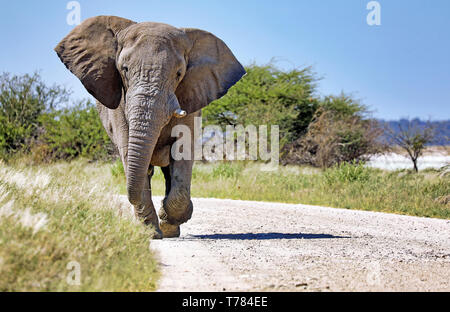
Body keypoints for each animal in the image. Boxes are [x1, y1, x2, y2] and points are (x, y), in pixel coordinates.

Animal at [55, 16, 246, 239]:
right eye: (124, 69)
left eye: (179, 73)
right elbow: (129, 153)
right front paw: (151, 233)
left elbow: (182, 151)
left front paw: (169, 219)